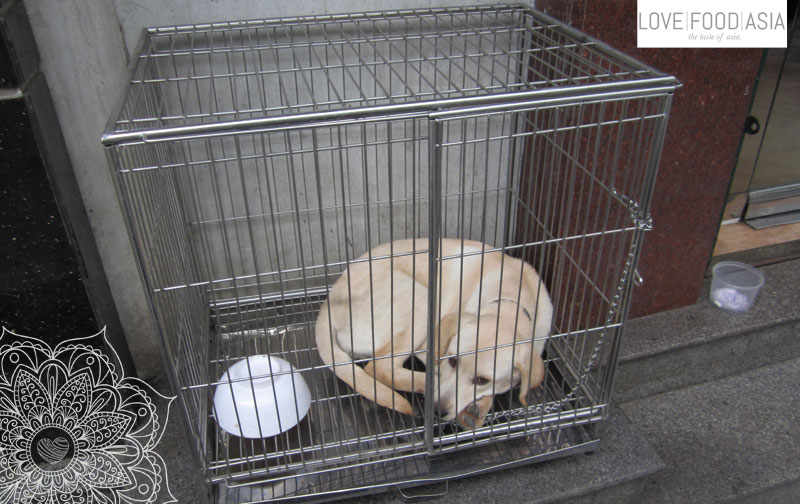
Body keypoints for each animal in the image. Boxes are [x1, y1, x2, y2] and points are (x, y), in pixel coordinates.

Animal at [316, 238, 552, 428]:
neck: (510, 298)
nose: (438, 410)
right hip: (419, 300)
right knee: (378, 367)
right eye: (453, 361)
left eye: (483, 380)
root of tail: (327, 306)